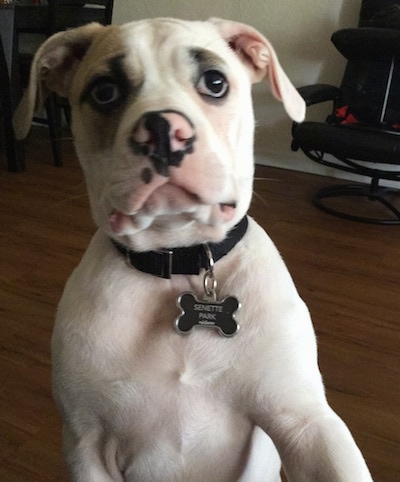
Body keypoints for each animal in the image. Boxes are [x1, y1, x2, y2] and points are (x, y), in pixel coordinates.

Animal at [14, 17, 372, 480]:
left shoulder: (306, 423)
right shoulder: (86, 441)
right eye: (104, 91)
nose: (163, 130)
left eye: (215, 82)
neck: (180, 260)